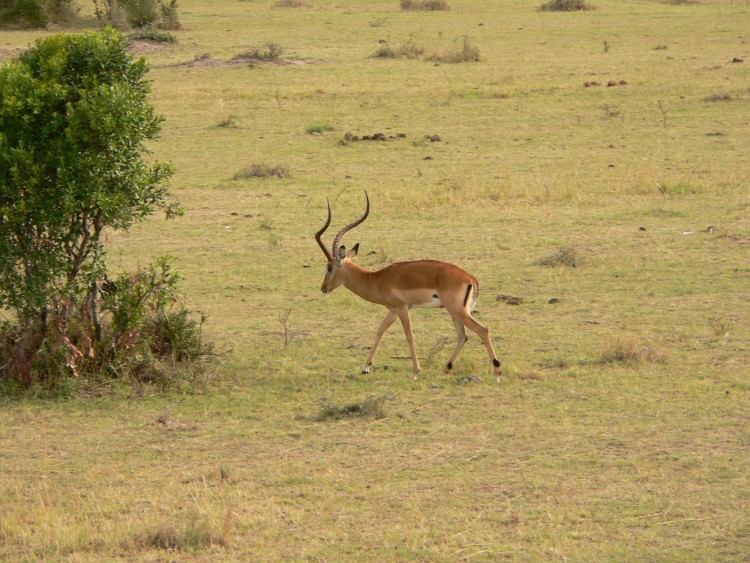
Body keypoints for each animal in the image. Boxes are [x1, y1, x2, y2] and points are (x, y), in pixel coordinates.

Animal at [314, 192, 502, 382]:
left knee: (482, 330)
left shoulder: (402, 308)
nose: (323, 287)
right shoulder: (393, 310)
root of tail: (470, 278)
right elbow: (380, 330)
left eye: (329, 267)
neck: (379, 279)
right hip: (455, 312)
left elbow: (409, 335)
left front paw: (415, 371)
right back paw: (445, 369)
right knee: (463, 336)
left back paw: (496, 373)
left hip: (458, 311)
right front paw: (365, 367)